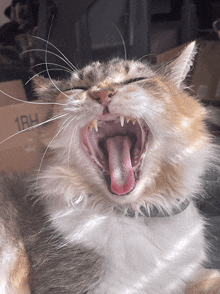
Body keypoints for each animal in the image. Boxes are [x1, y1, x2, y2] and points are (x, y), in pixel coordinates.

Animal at [0, 40, 220, 292]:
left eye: (135, 80)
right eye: (79, 88)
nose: (102, 93)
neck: (137, 212)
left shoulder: (185, 276)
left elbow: (211, 275)